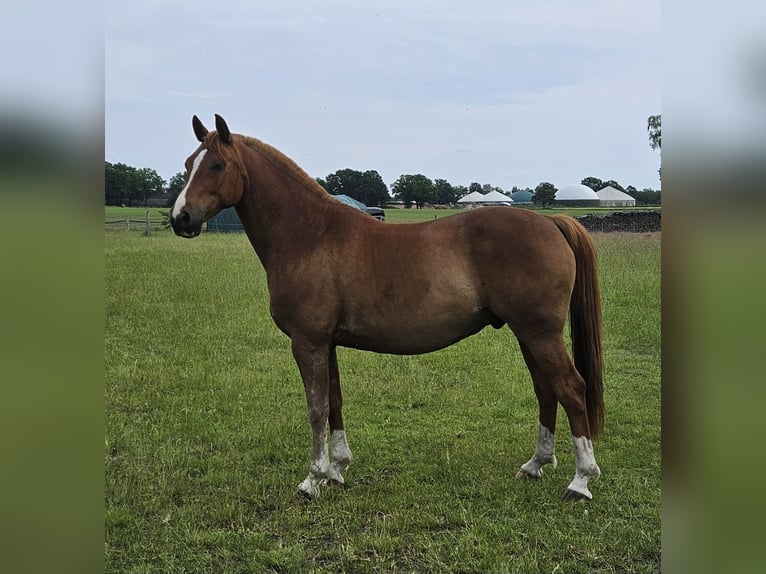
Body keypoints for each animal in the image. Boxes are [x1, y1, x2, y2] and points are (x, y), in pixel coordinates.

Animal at [170, 114, 604, 501]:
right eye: (188, 164)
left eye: (218, 165)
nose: (180, 218)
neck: (309, 234)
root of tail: (551, 223)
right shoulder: (326, 343)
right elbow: (334, 402)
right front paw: (337, 471)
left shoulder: (307, 342)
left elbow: (315, 409)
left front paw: (313, 480)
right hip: (527, 333)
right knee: (546, 390)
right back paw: (535, 465)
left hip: (539, 332)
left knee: (571, 387)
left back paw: (580, 481)